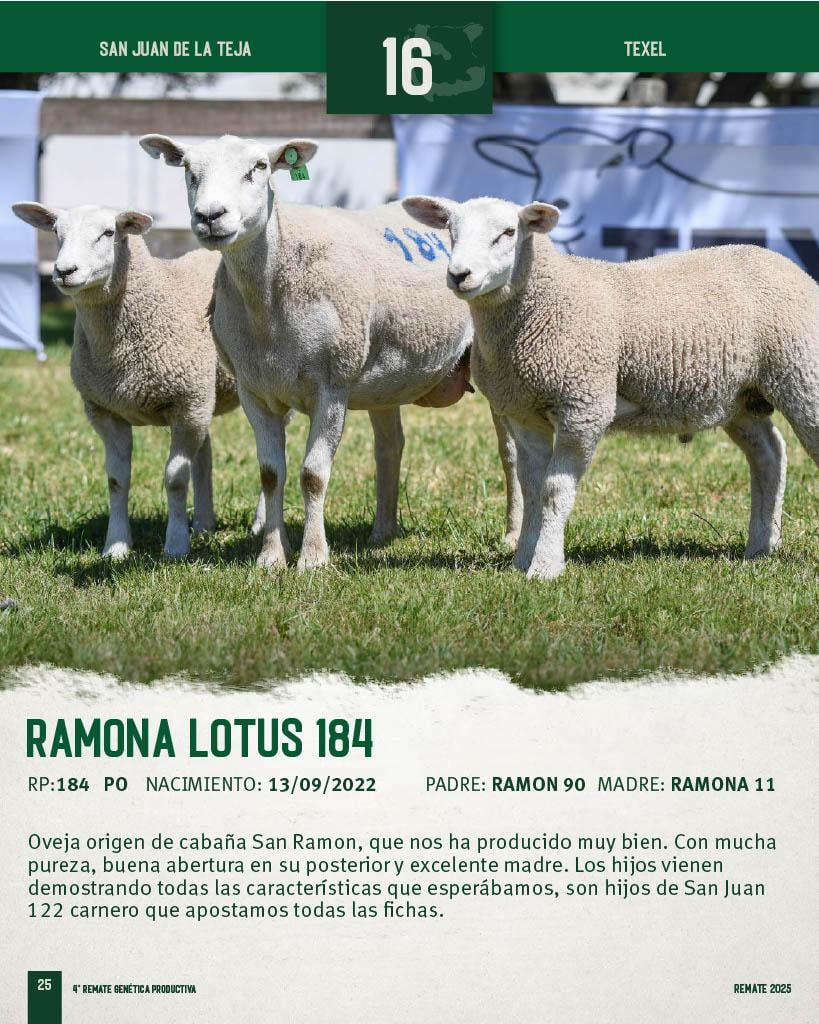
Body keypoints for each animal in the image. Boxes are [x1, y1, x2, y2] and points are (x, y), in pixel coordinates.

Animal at [11, 202, 264, 559]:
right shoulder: (106, 412)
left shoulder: (184, 404)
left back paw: (257, 524)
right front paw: (116, 547)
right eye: (57, 232)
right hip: (203, 398)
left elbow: (175, 478)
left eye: (108, 233)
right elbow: (117, 481)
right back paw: (204, 524)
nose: (63, 271)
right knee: (205, 455)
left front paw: (175, 545)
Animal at [138, 134, 523, 571]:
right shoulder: (254, 391)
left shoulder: (332, 385)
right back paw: (382, 532)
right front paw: (271, 556)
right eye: (189, 170)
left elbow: (312, 474)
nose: (210, 215)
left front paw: (313, 558)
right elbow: (270, 473)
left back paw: (512, 534)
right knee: (390, 446)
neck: (266, 305)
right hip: (385, 376)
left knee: (510, 452)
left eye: (259, 167)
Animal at [403, 194, 819, 580]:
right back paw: (761, 547)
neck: (544, 304)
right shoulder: (524, 413)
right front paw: (522, 560)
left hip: (802, 373)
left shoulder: (583, 407)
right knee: (769, 455)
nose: (459, 275)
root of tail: (787, 264)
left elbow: (555, 490)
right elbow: (532, 488)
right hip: (740, 397)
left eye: (508, 232)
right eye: (450, 230)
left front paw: (546, 567)